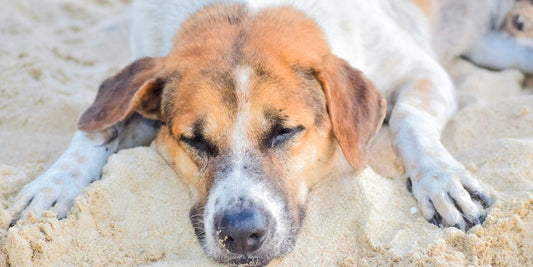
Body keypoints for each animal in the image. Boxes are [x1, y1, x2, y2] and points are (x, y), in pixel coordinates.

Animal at [10, 0, 520, 266]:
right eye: (194, 140)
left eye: (285, 131)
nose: (240, 234)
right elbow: (100, 125)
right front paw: (53, 186)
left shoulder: (422, 71)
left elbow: (410, 117)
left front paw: (442, 181)